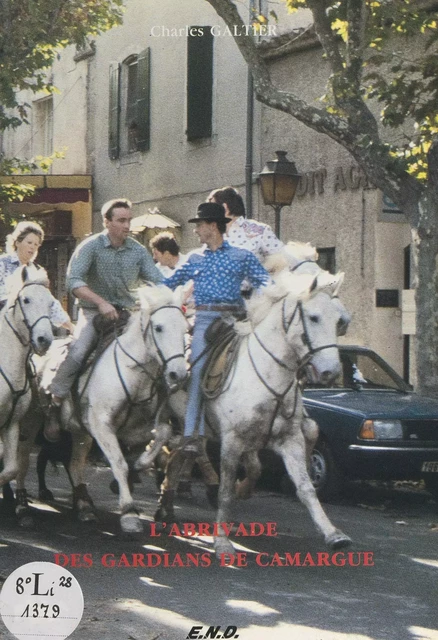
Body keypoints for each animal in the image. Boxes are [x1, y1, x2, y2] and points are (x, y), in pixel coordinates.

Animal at [17, 288, 188, 532]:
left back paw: (84, 506)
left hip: (79, 432)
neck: (132, 374)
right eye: (159, 327)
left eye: (185, 328)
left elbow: (163, 432)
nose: (178, 374)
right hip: (30, 422)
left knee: (75, 464)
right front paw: (129, 512)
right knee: (22, 460)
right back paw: (23, 504)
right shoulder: (102, 427)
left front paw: (140, 464)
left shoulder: (133, 429)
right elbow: (119, 463)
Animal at [162, 270, 352, 556]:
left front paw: (333, 534)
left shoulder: (289, 439)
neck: (268, 374)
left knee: (177, 457)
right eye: (313, 317)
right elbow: (226, 490)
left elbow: (305, 487)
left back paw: (166, 507)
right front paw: (222, 540)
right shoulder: (232, 441)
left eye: (338, 321)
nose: (331, 371)